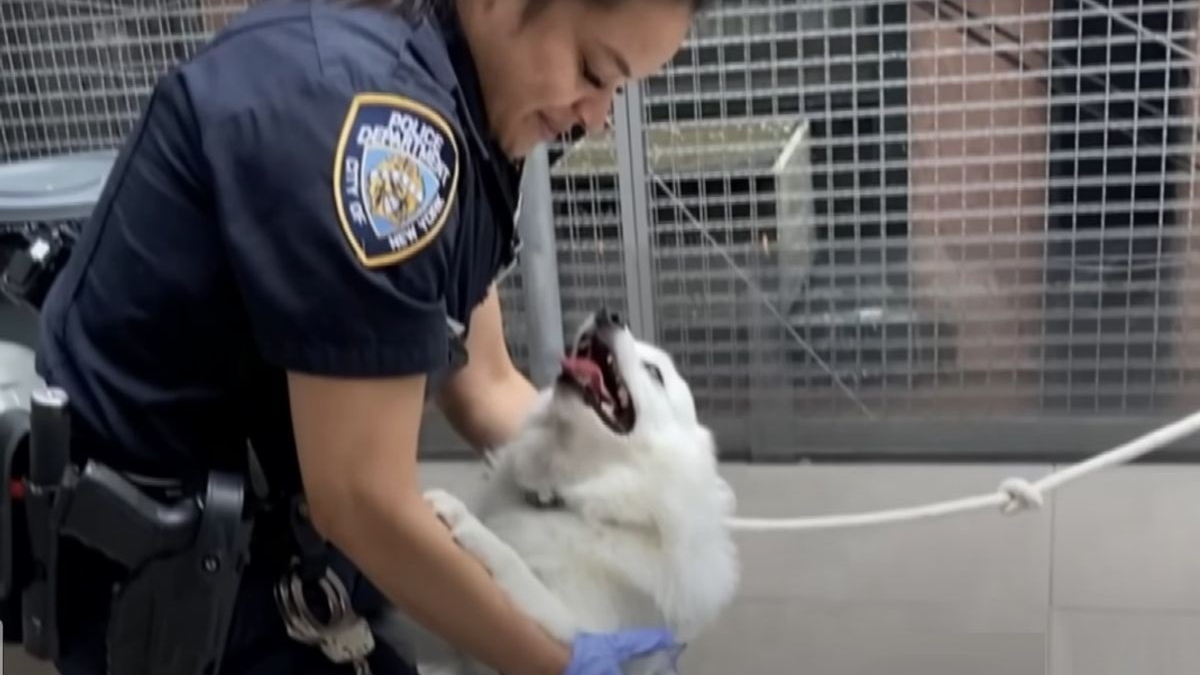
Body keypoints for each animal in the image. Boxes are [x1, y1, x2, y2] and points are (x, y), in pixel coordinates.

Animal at [398, 309, 739, 672]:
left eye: (654, 372)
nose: (609, 314)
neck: (571, 502)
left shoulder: (575, 626)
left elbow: (512, 564)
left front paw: (465, 520)